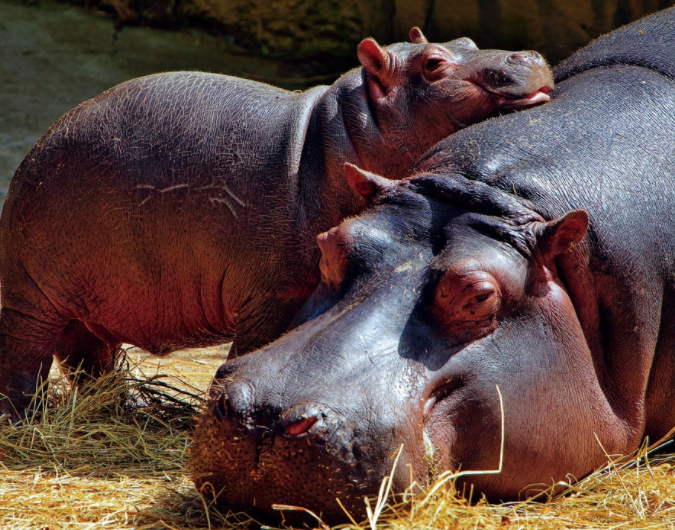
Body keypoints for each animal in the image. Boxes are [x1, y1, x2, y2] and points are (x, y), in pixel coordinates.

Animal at [0, 28, 552, 418]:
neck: (342, 135)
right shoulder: (272, 293)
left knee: (89, 356)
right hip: (31, 293)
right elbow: (255, 347)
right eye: (434, 63)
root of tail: (32, 153)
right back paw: (24, 419)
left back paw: (126, 406)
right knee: (25, 355)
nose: (528, 56)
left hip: (89, 299)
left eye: (469, 43)